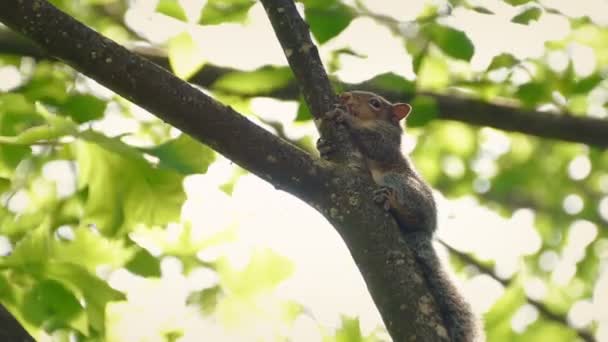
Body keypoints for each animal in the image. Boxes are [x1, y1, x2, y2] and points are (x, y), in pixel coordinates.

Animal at [316, 91, 478, 342]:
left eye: (375, 103)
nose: (345, 95)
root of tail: (426, 231)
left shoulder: (387, 142)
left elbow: (375, 143)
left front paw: (344, 117)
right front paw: (322, 146)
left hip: (401, 184)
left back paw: (391, 202)